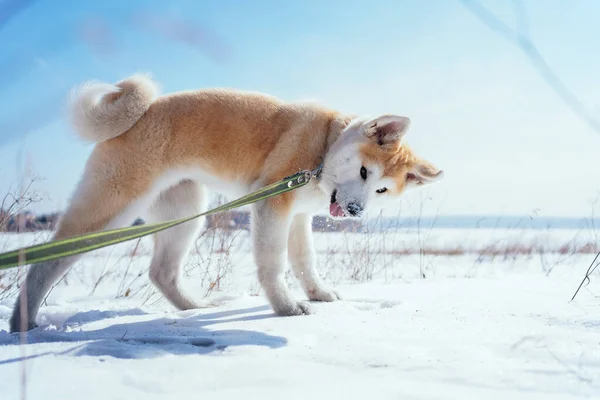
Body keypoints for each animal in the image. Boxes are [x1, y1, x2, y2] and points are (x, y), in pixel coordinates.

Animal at [8, 74, 440, 332]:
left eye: (382, 190)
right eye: (365, 172)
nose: (355, 212)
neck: (324, 146)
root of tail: (142, 112)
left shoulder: (298, 218)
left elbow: (305, 262)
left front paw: (317, 293)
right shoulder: (273, 207)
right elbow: (274, 265)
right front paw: (286, 307)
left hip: (184, 214)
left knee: (161, 272)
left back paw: (192, 307)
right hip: (111, 208)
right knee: (47, 262)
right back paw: (22, 323)